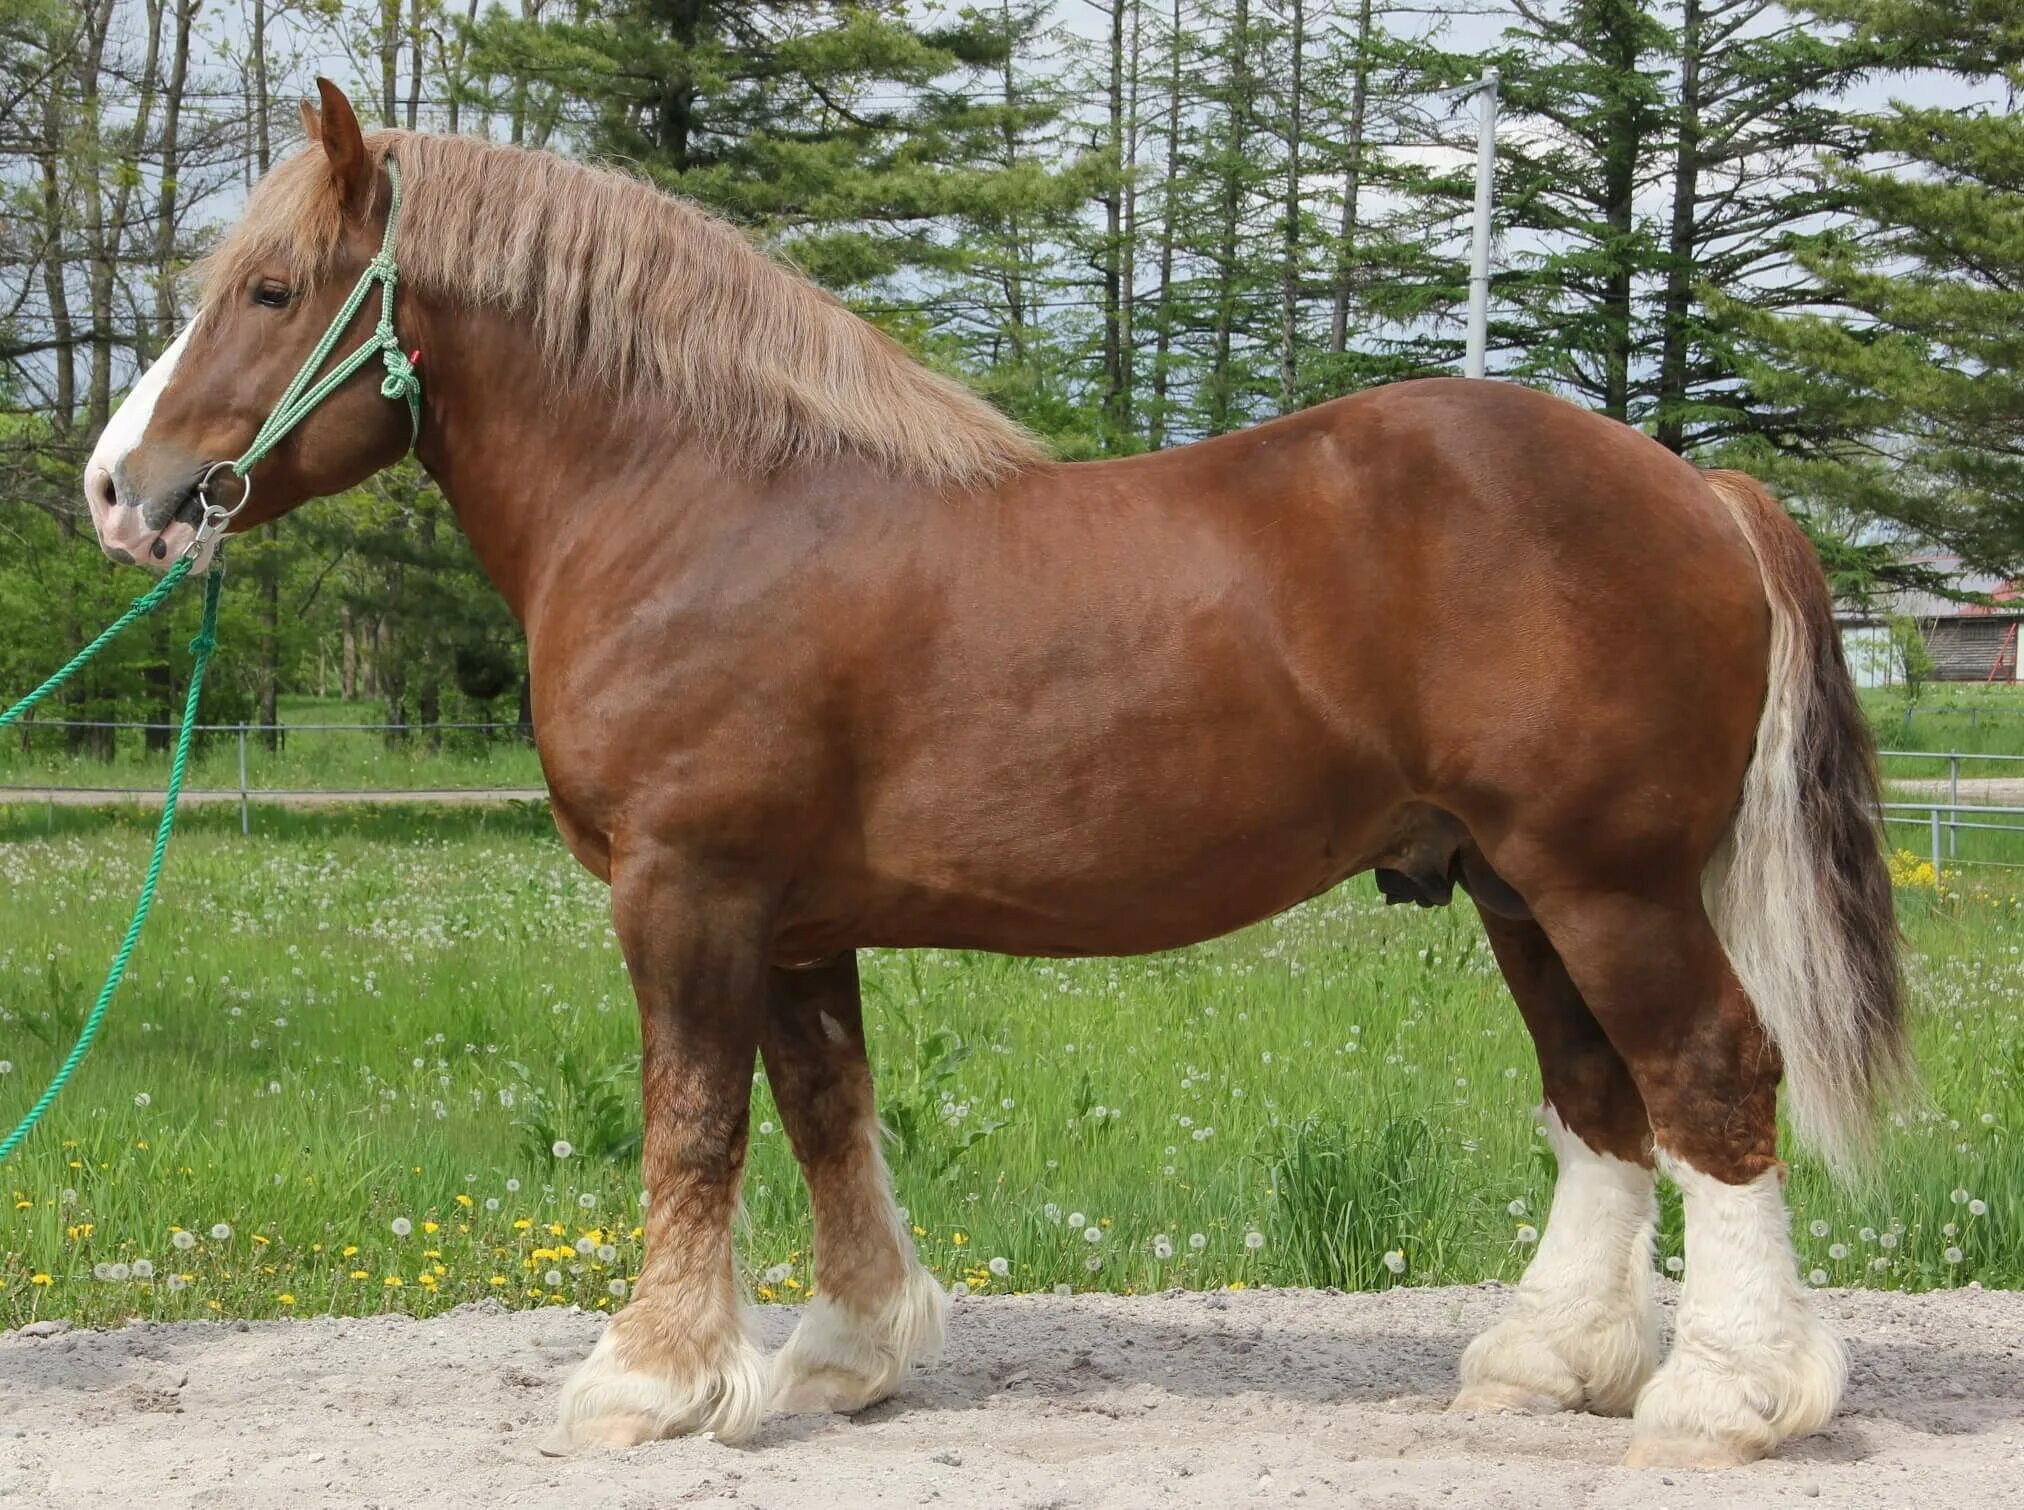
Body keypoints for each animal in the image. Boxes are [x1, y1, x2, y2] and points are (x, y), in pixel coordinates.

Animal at [91, 79, 1894, 1457]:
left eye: (269, 290)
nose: (121, 488)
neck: (696, 505)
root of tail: (1692, 488)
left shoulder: (689, 889)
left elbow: (693, 1122)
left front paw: (649, 1381)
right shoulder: (795, 919)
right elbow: (825, 1112)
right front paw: (845, 1352)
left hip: (1607, 882)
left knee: (1709, 1079)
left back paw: (1726, 1398)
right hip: (1518, 888)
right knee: (1600, 1101)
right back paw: (1547, 1363)